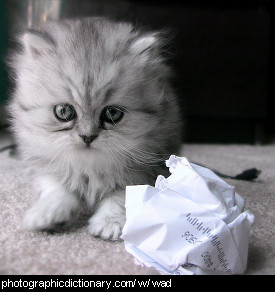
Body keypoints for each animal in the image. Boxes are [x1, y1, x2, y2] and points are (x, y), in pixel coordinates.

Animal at [8, 17, 183, 240]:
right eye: (64, 111)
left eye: (113, 114)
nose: (87, 137)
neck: (89, 170)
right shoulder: (44, 164)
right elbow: (58, 189)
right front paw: (48, 214)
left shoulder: (144, 171)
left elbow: (118, 196)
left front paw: (109, 222)